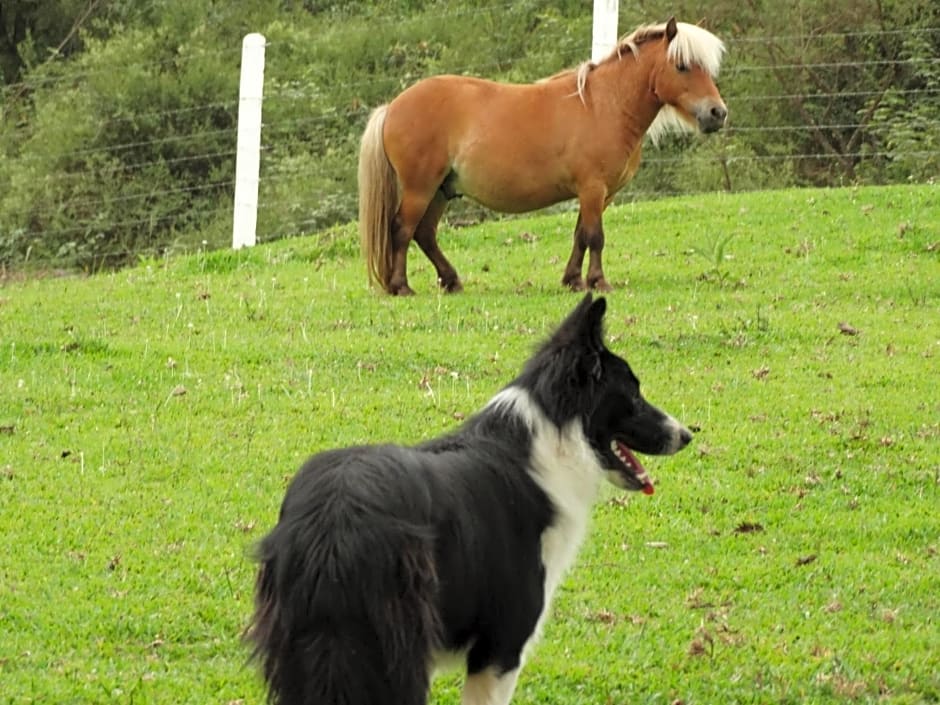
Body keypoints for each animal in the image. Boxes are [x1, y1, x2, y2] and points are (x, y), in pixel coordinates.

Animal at [360, 17, 728, 294]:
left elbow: (581, 235)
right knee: (402, 230)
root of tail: (392, 106)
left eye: (707, 68)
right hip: (420, 189)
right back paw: (401, 286)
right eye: (682, 66)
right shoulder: (592, 189)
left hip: (441, 190)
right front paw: (598, 282)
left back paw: (451, 281)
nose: (717, 113)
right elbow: (595, 237)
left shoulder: (598, 194)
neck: (604, 106)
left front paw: (573, 280)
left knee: (424, 234)